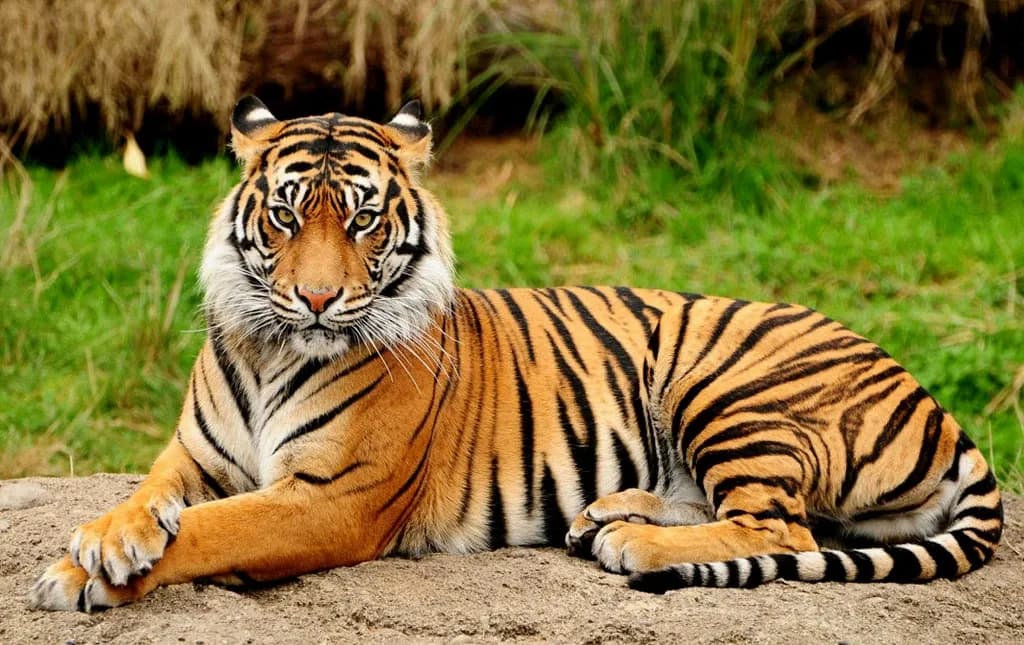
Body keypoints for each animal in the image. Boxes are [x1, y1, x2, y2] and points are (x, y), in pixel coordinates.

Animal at [30, 97, 1002, 611]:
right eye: (284, 216)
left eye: (363, 220)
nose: (316, 299)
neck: (273, 349)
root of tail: (935, 402)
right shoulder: (194, 455)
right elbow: (150, 497)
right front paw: (104, 539)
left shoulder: (331, 498)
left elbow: (213, 528)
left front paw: (80, 573)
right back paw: (608, 514)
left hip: (725, 382)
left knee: (782, 525)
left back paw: (634, 545)